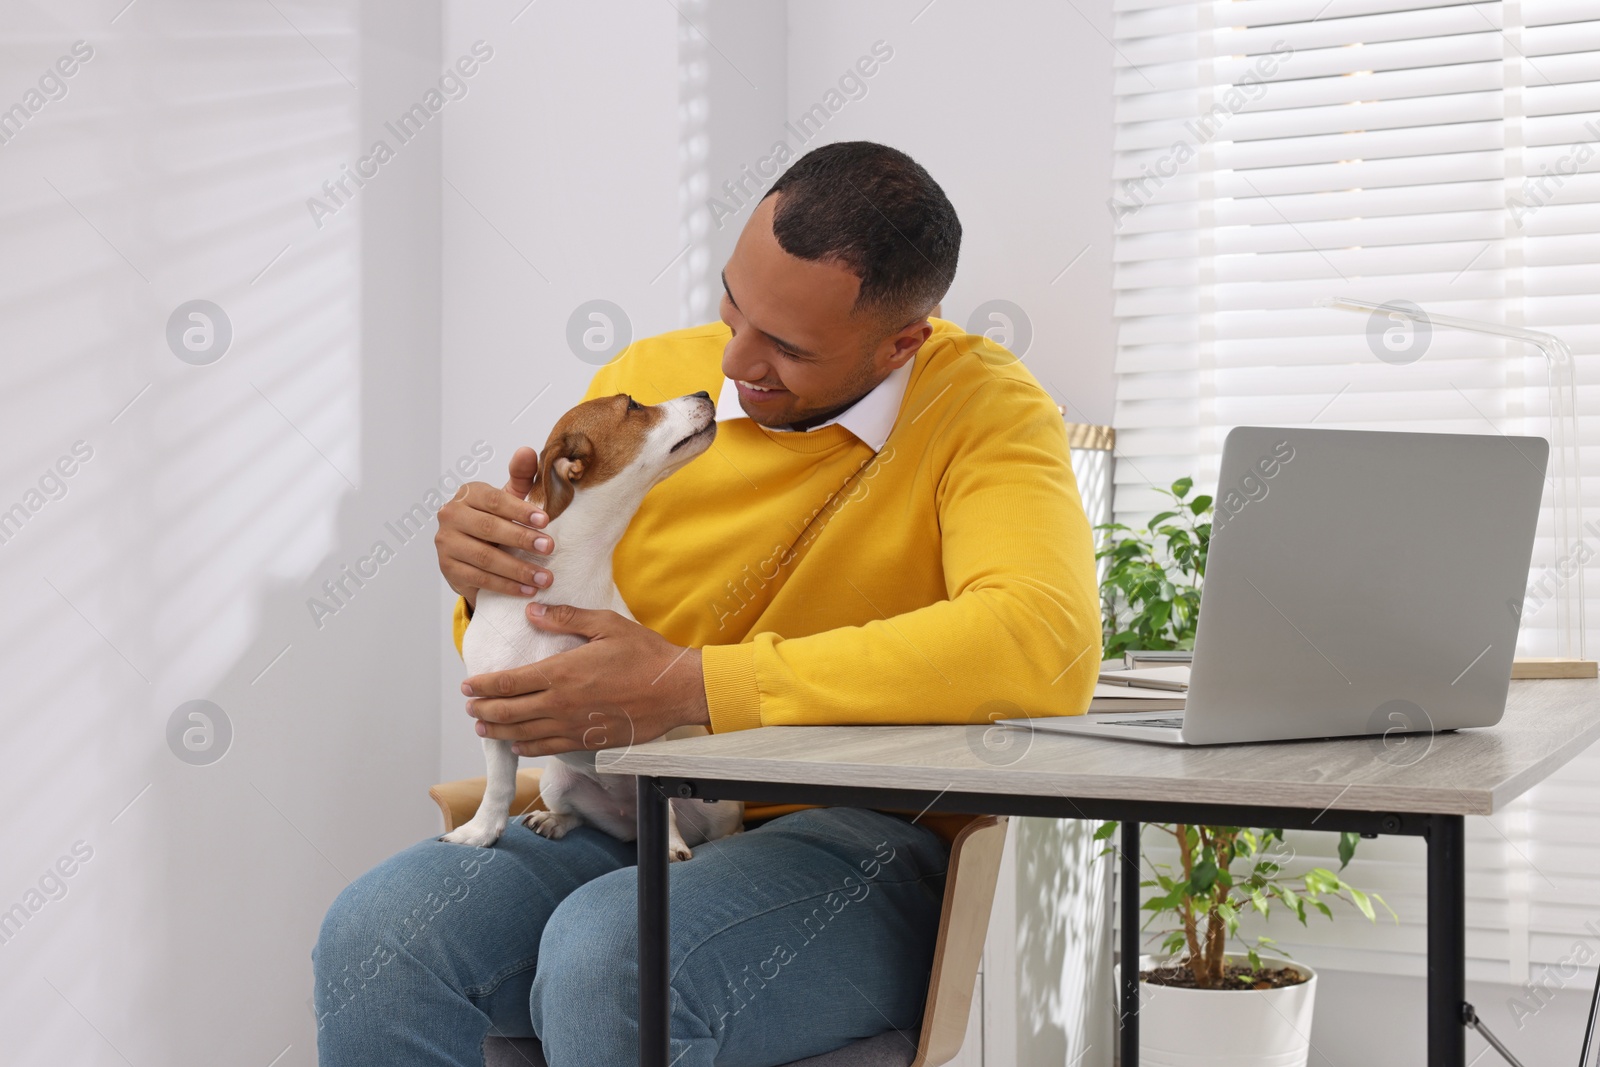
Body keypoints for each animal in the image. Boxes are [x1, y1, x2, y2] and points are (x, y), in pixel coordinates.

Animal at [441, 391, 745, 857]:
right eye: (633, 405)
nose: (705, 394)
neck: (563, 582)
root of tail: (629, 826)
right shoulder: (492, 718)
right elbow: (498, 786)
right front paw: (481, 831)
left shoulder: (645, 734)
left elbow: (663, 806)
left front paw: (671, 845)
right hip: (556, 780)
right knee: (577, 813)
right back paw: (554, 819)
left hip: (723, 805)